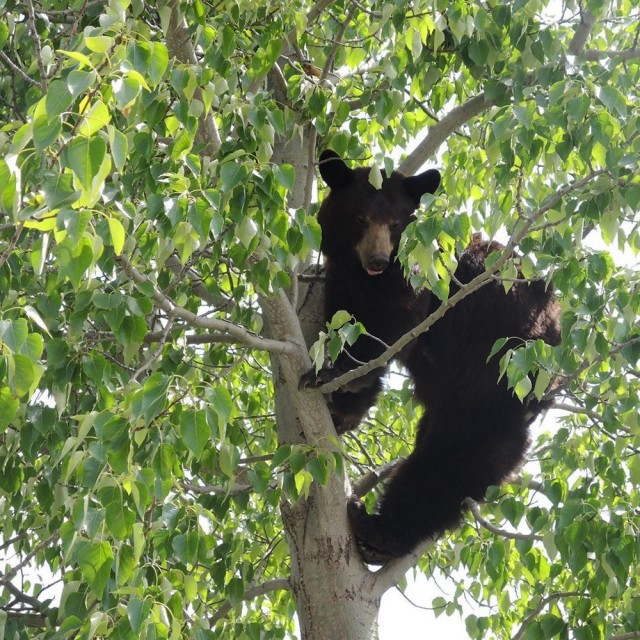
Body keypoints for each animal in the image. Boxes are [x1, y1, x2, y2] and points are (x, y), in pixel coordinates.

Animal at [304, 150, 560, 564]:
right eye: (360, 218)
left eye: (396, 223)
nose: (377, 259)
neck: (363, 275)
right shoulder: (341, 280)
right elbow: (344, 321)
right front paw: (343, 407)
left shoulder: (420, 273)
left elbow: (389, 326)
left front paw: (337, 376)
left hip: (499, 371)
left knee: (456, 454)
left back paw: (378, 532)